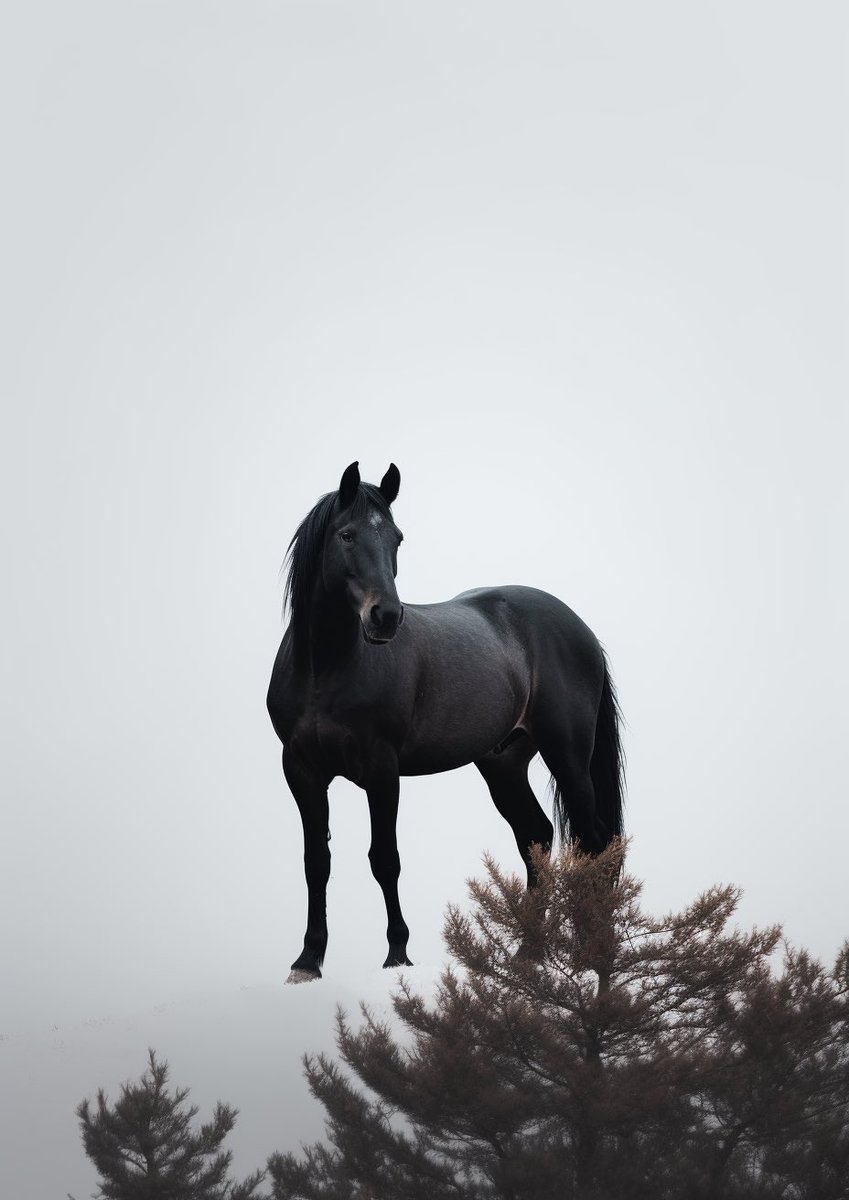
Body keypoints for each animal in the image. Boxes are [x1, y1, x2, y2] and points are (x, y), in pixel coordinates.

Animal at [267, 462, 624, 980]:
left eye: (396, 538)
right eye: (347, 535)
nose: (386, 616)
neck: (324, 671)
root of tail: (581, 629)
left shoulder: (382, 771)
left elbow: (384, 859)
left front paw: (398, 954)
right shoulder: (301, 770)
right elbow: (317, 862)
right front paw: (309, 960)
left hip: (569, 756)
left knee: (595, 844)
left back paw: (594, 955)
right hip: (503, 764)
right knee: (537, 836)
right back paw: (528, 954)